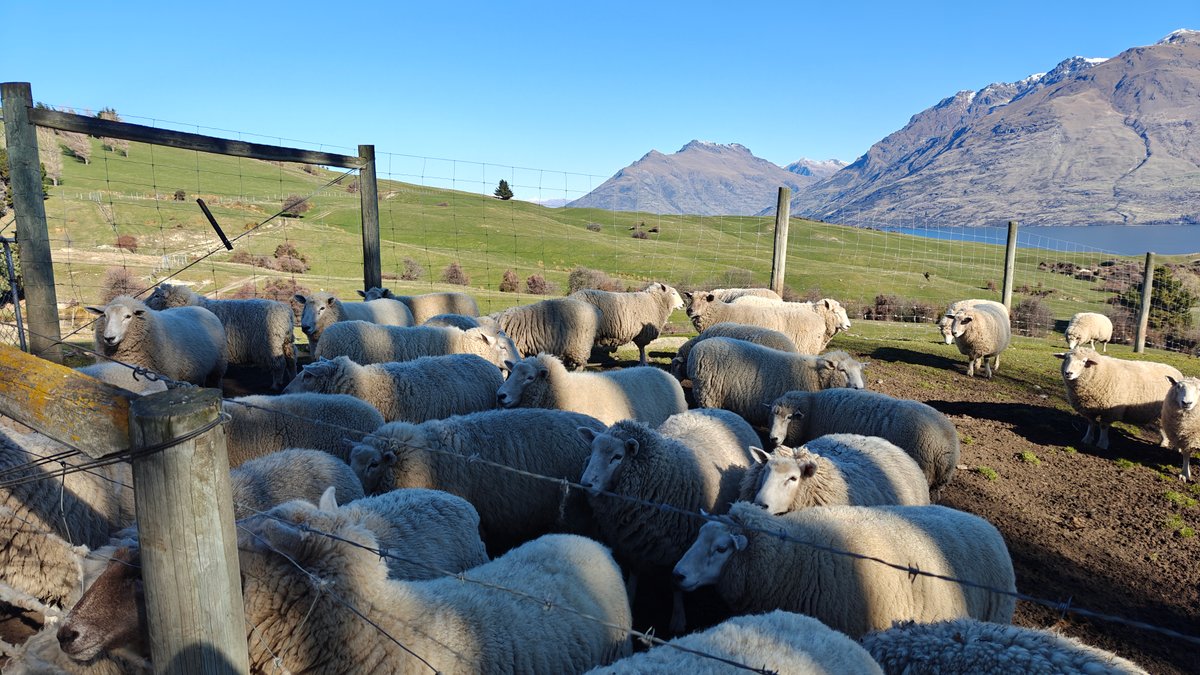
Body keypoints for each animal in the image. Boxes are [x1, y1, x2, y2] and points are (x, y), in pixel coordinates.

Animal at [85, 295, 226, 387]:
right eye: (104, 315)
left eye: (128, 316)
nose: (109, 338)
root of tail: (203, 310)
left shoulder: (168, 377)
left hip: (218, 368)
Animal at [145, 283, 296, 389]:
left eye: (156, 295)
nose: (143, 304)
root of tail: (286, 311)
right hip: (286, 342)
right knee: (291, 360)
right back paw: (293, 378)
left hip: (270, 344)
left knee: (279, 364)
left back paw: (276, 384)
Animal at [688, 337, 867, 426]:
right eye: (842, 370)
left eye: (859, 370)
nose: (859, 388)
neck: (818, 378)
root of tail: (697, 349)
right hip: (708, 393)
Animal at [767, 388, 960, 500]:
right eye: (772, 416)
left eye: (789, 417)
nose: (773, 438)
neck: (813, 409)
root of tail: (946, 445)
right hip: (937, 484)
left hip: (924, 472)